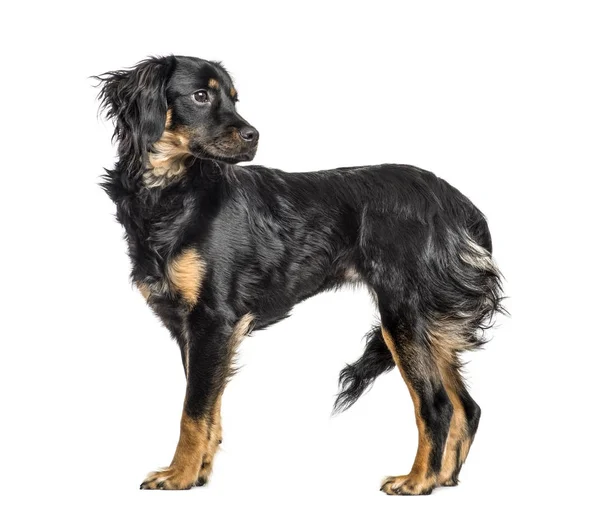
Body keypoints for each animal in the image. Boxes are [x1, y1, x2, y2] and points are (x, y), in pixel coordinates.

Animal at [96, 56, 504, 496]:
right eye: (201, 96)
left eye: (234, 98)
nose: (254, 135)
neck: (172, 193)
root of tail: (457, 201)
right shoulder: (193, 329)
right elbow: (209, 409)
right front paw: (200, 471)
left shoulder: (212, 320)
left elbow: (193, 410)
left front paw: (180, 475)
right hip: (429, 321)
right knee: (467, 407)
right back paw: (443, 477)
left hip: (403, 313)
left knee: (437, 405)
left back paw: (417, 481)